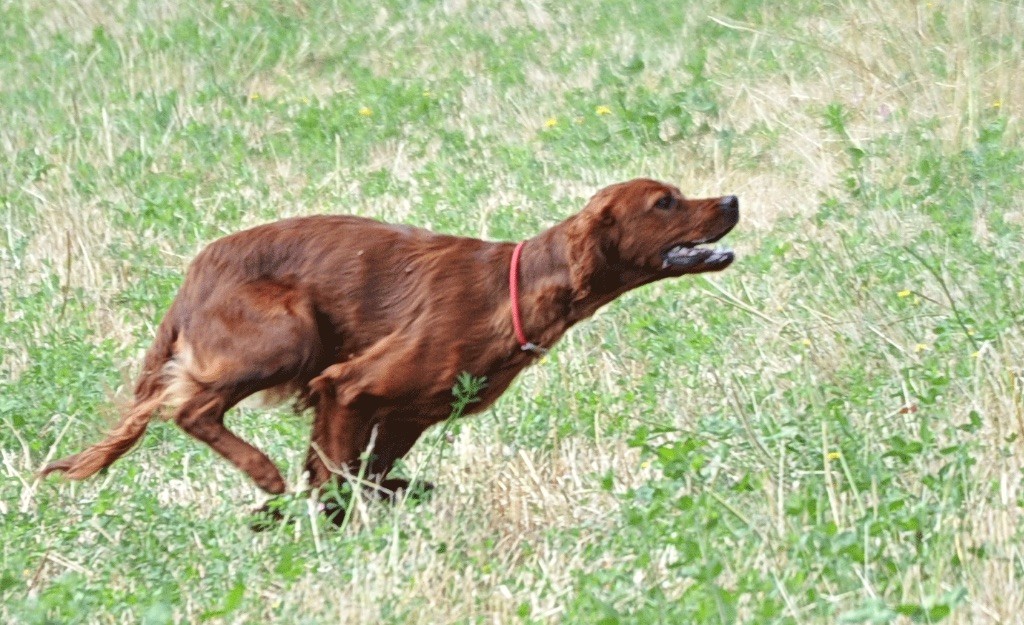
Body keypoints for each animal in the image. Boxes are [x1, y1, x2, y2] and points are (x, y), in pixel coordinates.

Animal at [41, 177, 737, 497]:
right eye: (664, 203)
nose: (732, 200)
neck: (515, 289)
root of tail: (196, 270)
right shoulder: (347, 387)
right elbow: (337, 480)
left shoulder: (405, 417)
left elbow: (365, 477)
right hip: (288, 332)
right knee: (187, 406)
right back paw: (264, 474)